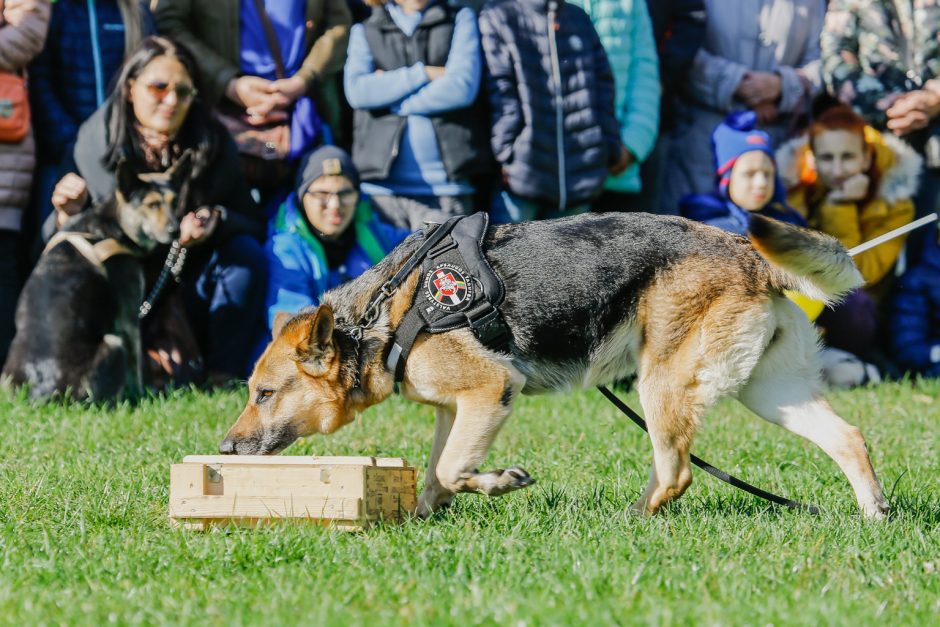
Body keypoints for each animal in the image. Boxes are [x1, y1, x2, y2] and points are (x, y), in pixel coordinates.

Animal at [3, 157, 191, 402]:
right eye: (151, 205)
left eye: (175, 202)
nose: (176, 231)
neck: (114, 221)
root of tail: (44, 395)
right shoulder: (128, 318)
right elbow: (135, 368)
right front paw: (141, 396)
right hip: (113, 344)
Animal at [224, 215, 892, 520]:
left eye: (263, 394)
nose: (225, 450)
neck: (381, 316)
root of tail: (748, 253)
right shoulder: (455, 408)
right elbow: (438, 473)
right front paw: (421, 520)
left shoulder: (493, 389)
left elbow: (453, 468)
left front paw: (499, 482)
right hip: (768, 392)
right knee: (849, 438)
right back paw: (872, 516)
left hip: (660, 384)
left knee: (676, 472)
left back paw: (630, 521)